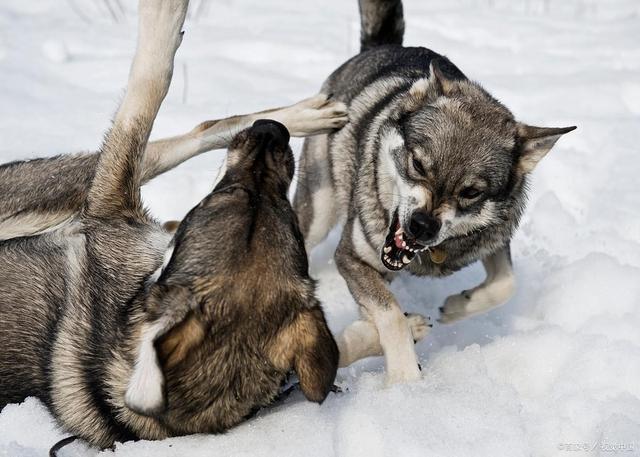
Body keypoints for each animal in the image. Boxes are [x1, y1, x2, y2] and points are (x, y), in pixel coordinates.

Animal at [0, 0, 342, 446]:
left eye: (225, 197)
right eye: (286, 214)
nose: (272, 132)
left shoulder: (107, 205)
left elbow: (146, 93)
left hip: (61, 184)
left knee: (165, 138)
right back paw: (307, 114)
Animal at [294, 0, 576, 384]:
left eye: (471, 192)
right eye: (418, 164)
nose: (422, 227)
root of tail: (383, 46)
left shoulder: (494, 237)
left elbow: (506, 284)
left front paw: (458, 307)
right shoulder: (352, 257)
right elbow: (390, 314)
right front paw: (404, 380)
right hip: (320, 206)